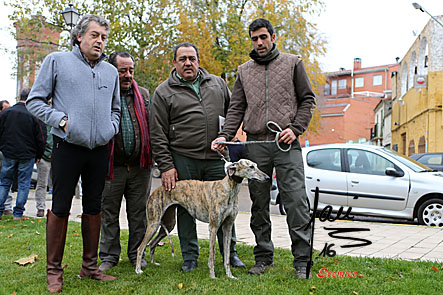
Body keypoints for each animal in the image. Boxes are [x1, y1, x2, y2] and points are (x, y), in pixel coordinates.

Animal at [135, 160, 268, 280]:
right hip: (154, 222)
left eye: (256, 165)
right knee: (140, 247)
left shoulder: (228, 226)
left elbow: (227, 255)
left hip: (168, 223)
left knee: (152, 243)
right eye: (251, 167)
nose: (267, 177)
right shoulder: (213, 227)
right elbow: (212, 255)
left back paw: (153, 263)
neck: (228, 189)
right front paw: (212, 276)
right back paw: (138, 270)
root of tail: (156, 190)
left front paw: (230, 276)